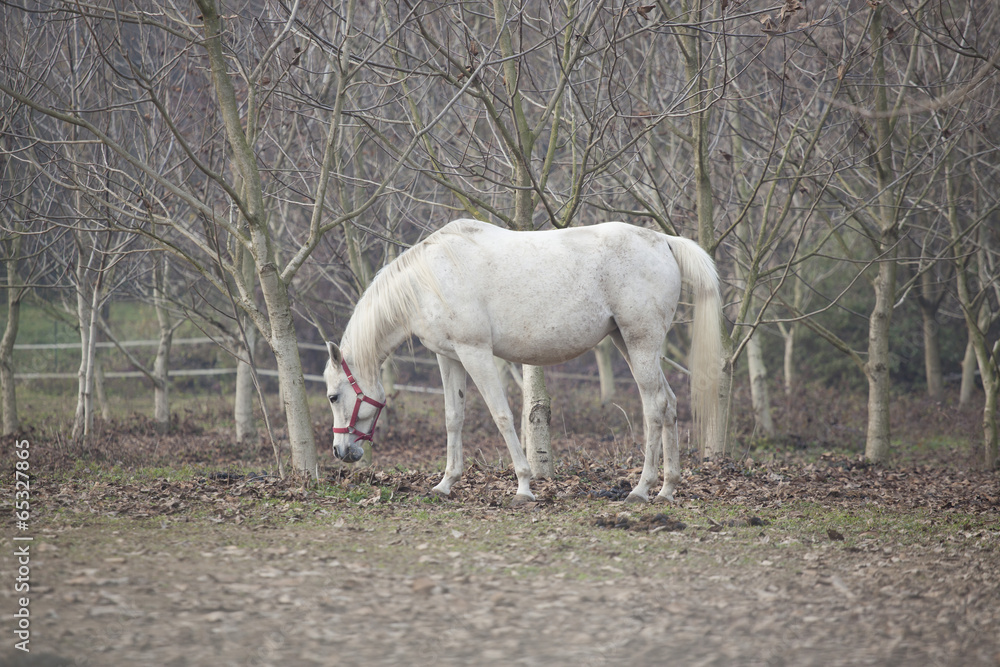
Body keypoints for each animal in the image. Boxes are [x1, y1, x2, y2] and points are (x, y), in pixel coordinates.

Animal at [324, 219, 722, 505]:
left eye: (333, 396)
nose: (340, 451)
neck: (430, 278)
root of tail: (663, 241)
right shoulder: (449, 357)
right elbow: (454, 418)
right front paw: (445, 483)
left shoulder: (475, 352)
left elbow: (501, 416)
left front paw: (523, 487)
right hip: (627, 342)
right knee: (669, 403)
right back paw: (667, 489)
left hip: (640, 343)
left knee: (654, 406)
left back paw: (641, 490)